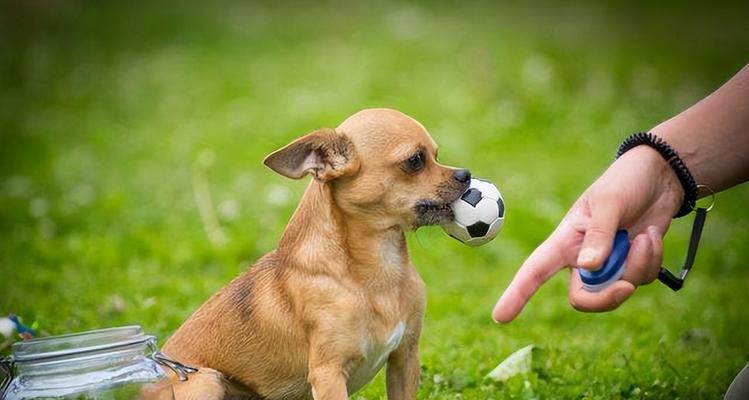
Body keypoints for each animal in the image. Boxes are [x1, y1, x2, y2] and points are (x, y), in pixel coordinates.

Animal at [161, 108, 470, 398]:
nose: (465, 174)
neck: (379, 268)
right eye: (415, 160)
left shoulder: (405, 357)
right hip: (205, 381)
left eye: (436, 155)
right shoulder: (328, 373)